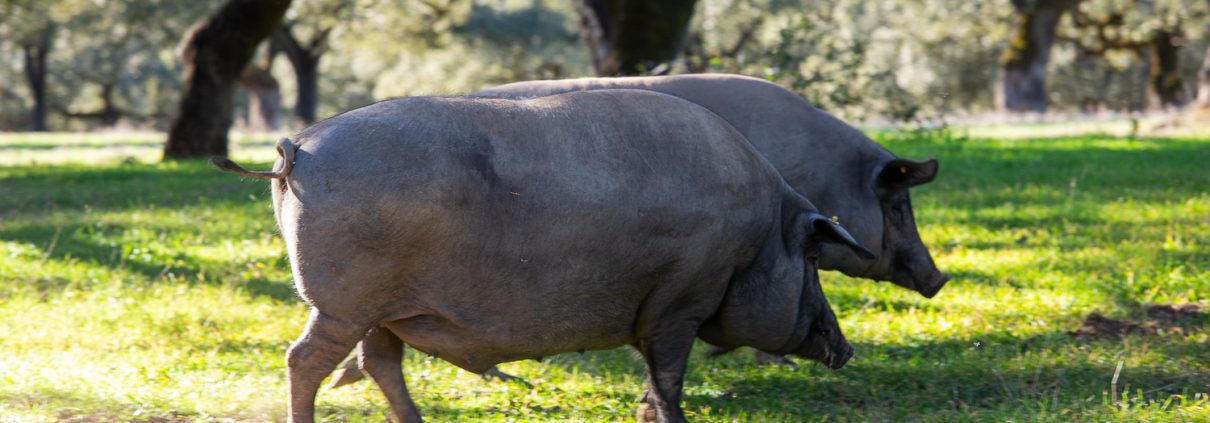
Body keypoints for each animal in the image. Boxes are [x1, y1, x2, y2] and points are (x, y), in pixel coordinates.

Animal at [217, 90, 876, 423]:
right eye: (813, 261)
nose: (846, 349)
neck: (757, 234)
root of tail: (298, 146)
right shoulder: (681, 299)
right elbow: (669, 375)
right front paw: (672, 419)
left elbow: (655, 376)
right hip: (345, 298)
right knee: (305, 359)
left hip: (385, 306)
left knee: (379, 362)